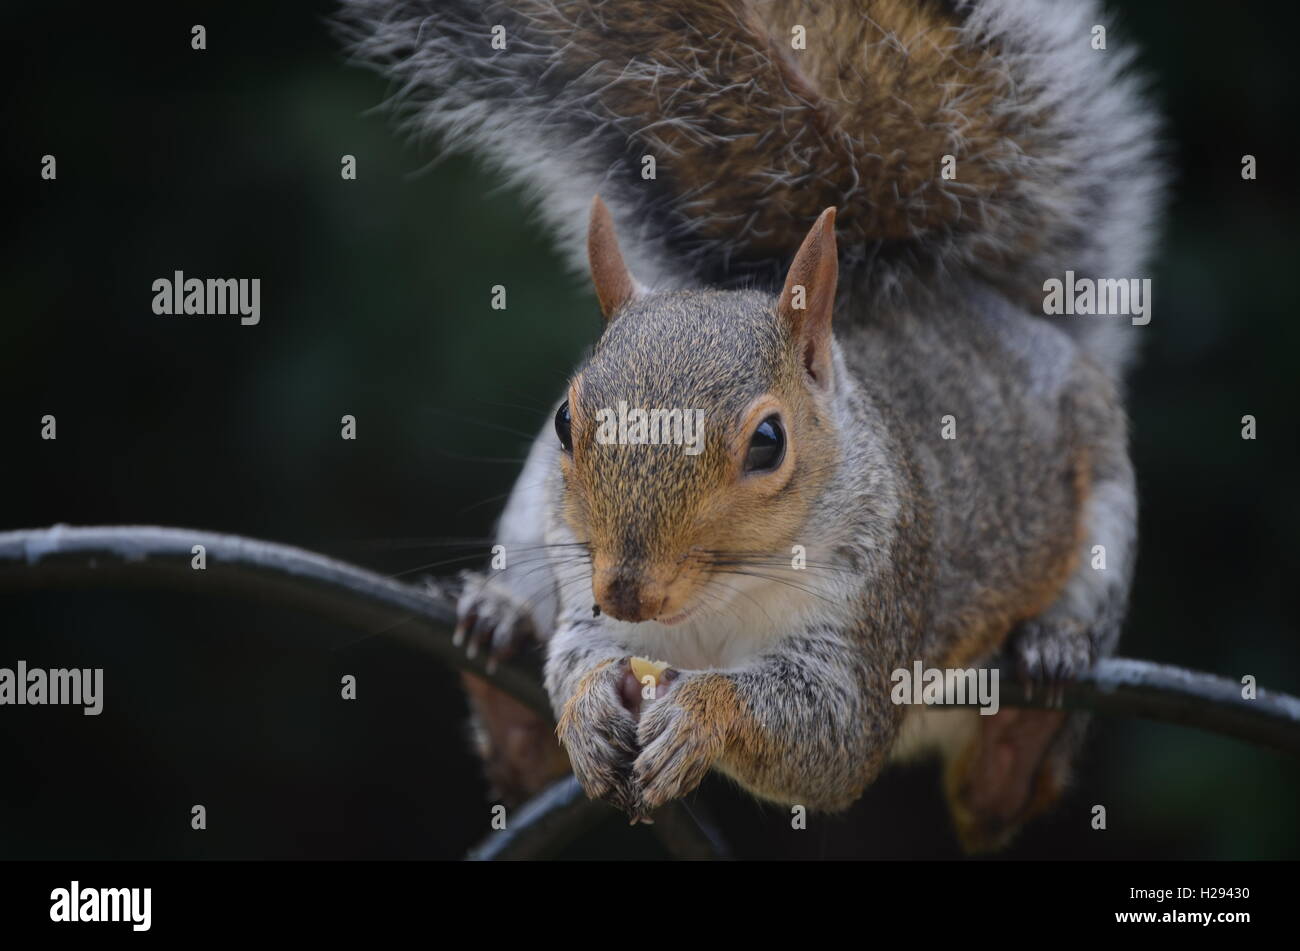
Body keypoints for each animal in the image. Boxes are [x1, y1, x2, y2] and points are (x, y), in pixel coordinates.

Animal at [340, 0, 1164, 847]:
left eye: (769, 442)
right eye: (566, 421)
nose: (626, 592)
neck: (714, 608)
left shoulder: (867, 621)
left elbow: (830, 735)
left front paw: (703, 713)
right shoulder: (585, 588)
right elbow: (579, 658)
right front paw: (589, 707)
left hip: (1102, 490)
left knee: (1017, 767)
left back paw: (1025, 726)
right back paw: (503, 645)